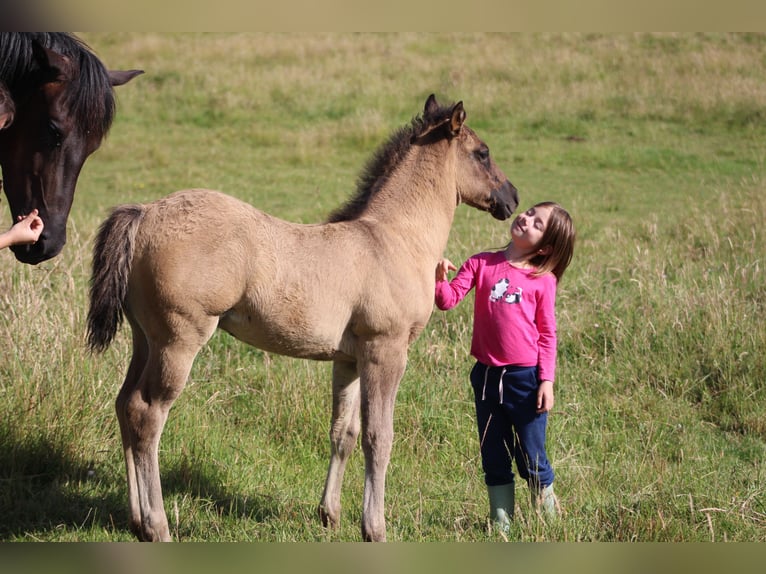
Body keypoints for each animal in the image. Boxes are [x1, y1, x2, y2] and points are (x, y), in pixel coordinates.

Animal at [87, 94, 519, 542]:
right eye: (482, 152)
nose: (512, 197)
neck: (394, 239)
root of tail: (145, 213)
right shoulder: (386, 351)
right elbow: (379, 437)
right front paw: (374, 527)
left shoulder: (349, 359)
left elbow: (344, 433)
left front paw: (330, 514)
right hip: (179, 341)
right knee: (147, 414)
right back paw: (158, 526)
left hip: (145, 339)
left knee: (125, 405)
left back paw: (136, 521)